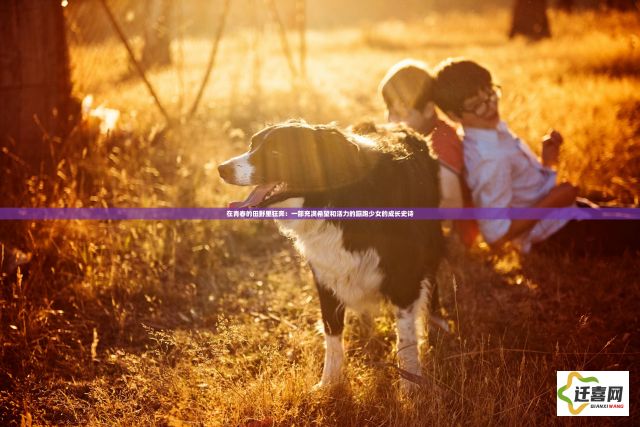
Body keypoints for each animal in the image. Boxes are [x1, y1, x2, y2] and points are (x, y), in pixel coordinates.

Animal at [218, 121, 442, 392]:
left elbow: (406, 340)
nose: (221, 169)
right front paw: (329, 384)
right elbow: (332, 334)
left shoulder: (404, 278)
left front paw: (411, 388)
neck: (336, 199)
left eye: (275, 153)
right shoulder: (326, 274)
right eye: (252, 145)